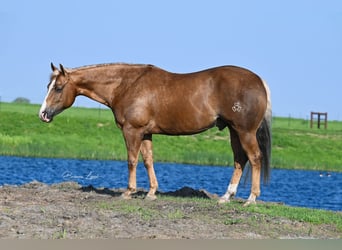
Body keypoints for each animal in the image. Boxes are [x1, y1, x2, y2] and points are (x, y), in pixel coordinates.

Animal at [40, 62, 272, 205]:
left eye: (58, 87)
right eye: (48, 85)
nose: (43, 114)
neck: (127, 85)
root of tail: (259, 81)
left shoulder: (132, 131)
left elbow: (132, 160)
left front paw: (128, 192)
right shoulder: (145, 133)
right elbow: (148, 160)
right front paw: (151, 193)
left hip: (245, 132)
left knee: (254, 158)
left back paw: (251, 198)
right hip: (234, 131)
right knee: (240, 160)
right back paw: (226, 196)